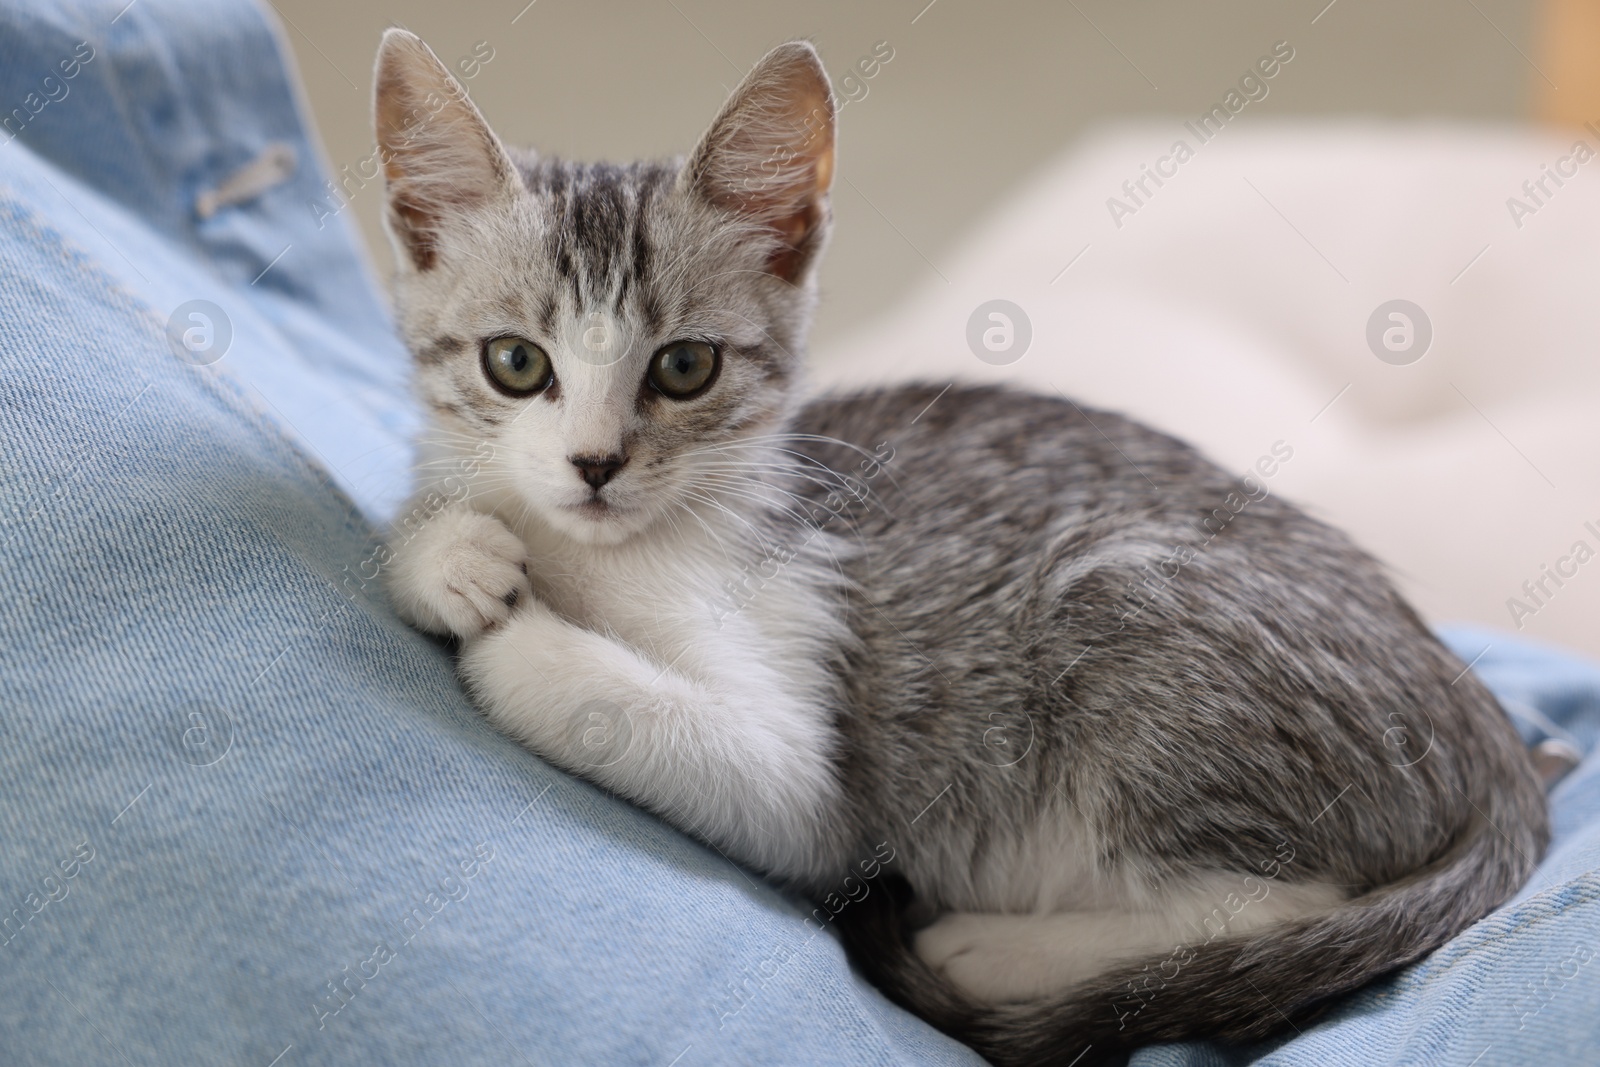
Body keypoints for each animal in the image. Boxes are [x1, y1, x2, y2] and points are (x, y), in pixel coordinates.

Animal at [374, 29, 1548, 1062]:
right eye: (516, 362)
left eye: (684, 368)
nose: (595, 464)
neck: (610, 547)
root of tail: (1490, 739)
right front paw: (448, 553)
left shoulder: (817, 787)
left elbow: (673, 728)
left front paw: (519, 641)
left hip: (1127, 597)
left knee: (1281, 897)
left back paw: (1000, 951)